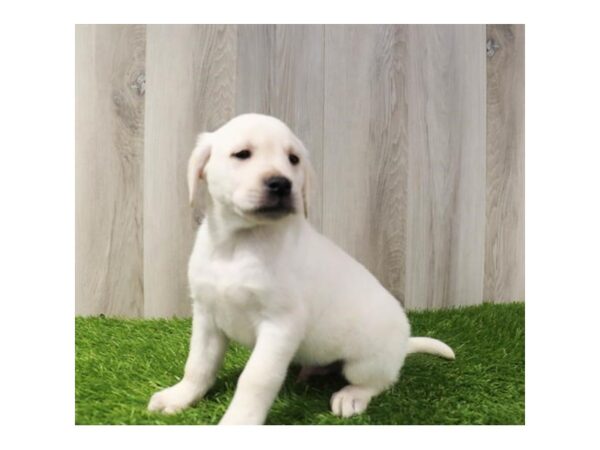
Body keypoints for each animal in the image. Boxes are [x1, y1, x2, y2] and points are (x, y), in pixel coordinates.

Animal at [146, 113, 454, 426]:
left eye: (293, 159)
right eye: (242, 154)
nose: (281, 184)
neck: (239, 243)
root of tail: (403, 344)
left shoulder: (280, 325)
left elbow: (256, 378)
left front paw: (239, 422)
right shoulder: (207, 315)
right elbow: (198, 364)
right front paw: (181, 396)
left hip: (365, 362)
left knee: (378, 382)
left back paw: (351, 396)